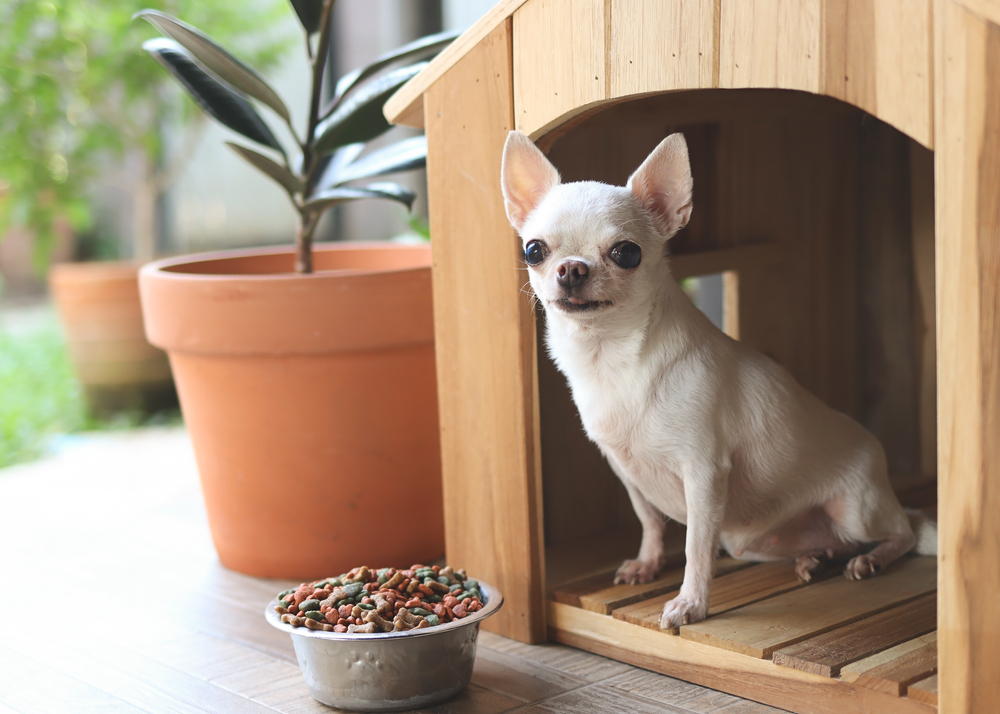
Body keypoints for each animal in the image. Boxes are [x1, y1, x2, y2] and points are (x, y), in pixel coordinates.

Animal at [500, 131, 936, 624]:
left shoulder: (704, 475)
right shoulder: (627, 472)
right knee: (833, 542)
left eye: (626, 253)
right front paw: (648, 562)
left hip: (854, 507)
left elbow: (695, 546)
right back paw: (816, 557)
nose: (571, 268)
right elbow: (649, 520)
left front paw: (691, 603)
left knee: (903, 533)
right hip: (757, 542)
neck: (610, 357)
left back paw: (871, 558)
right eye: (534, 250)